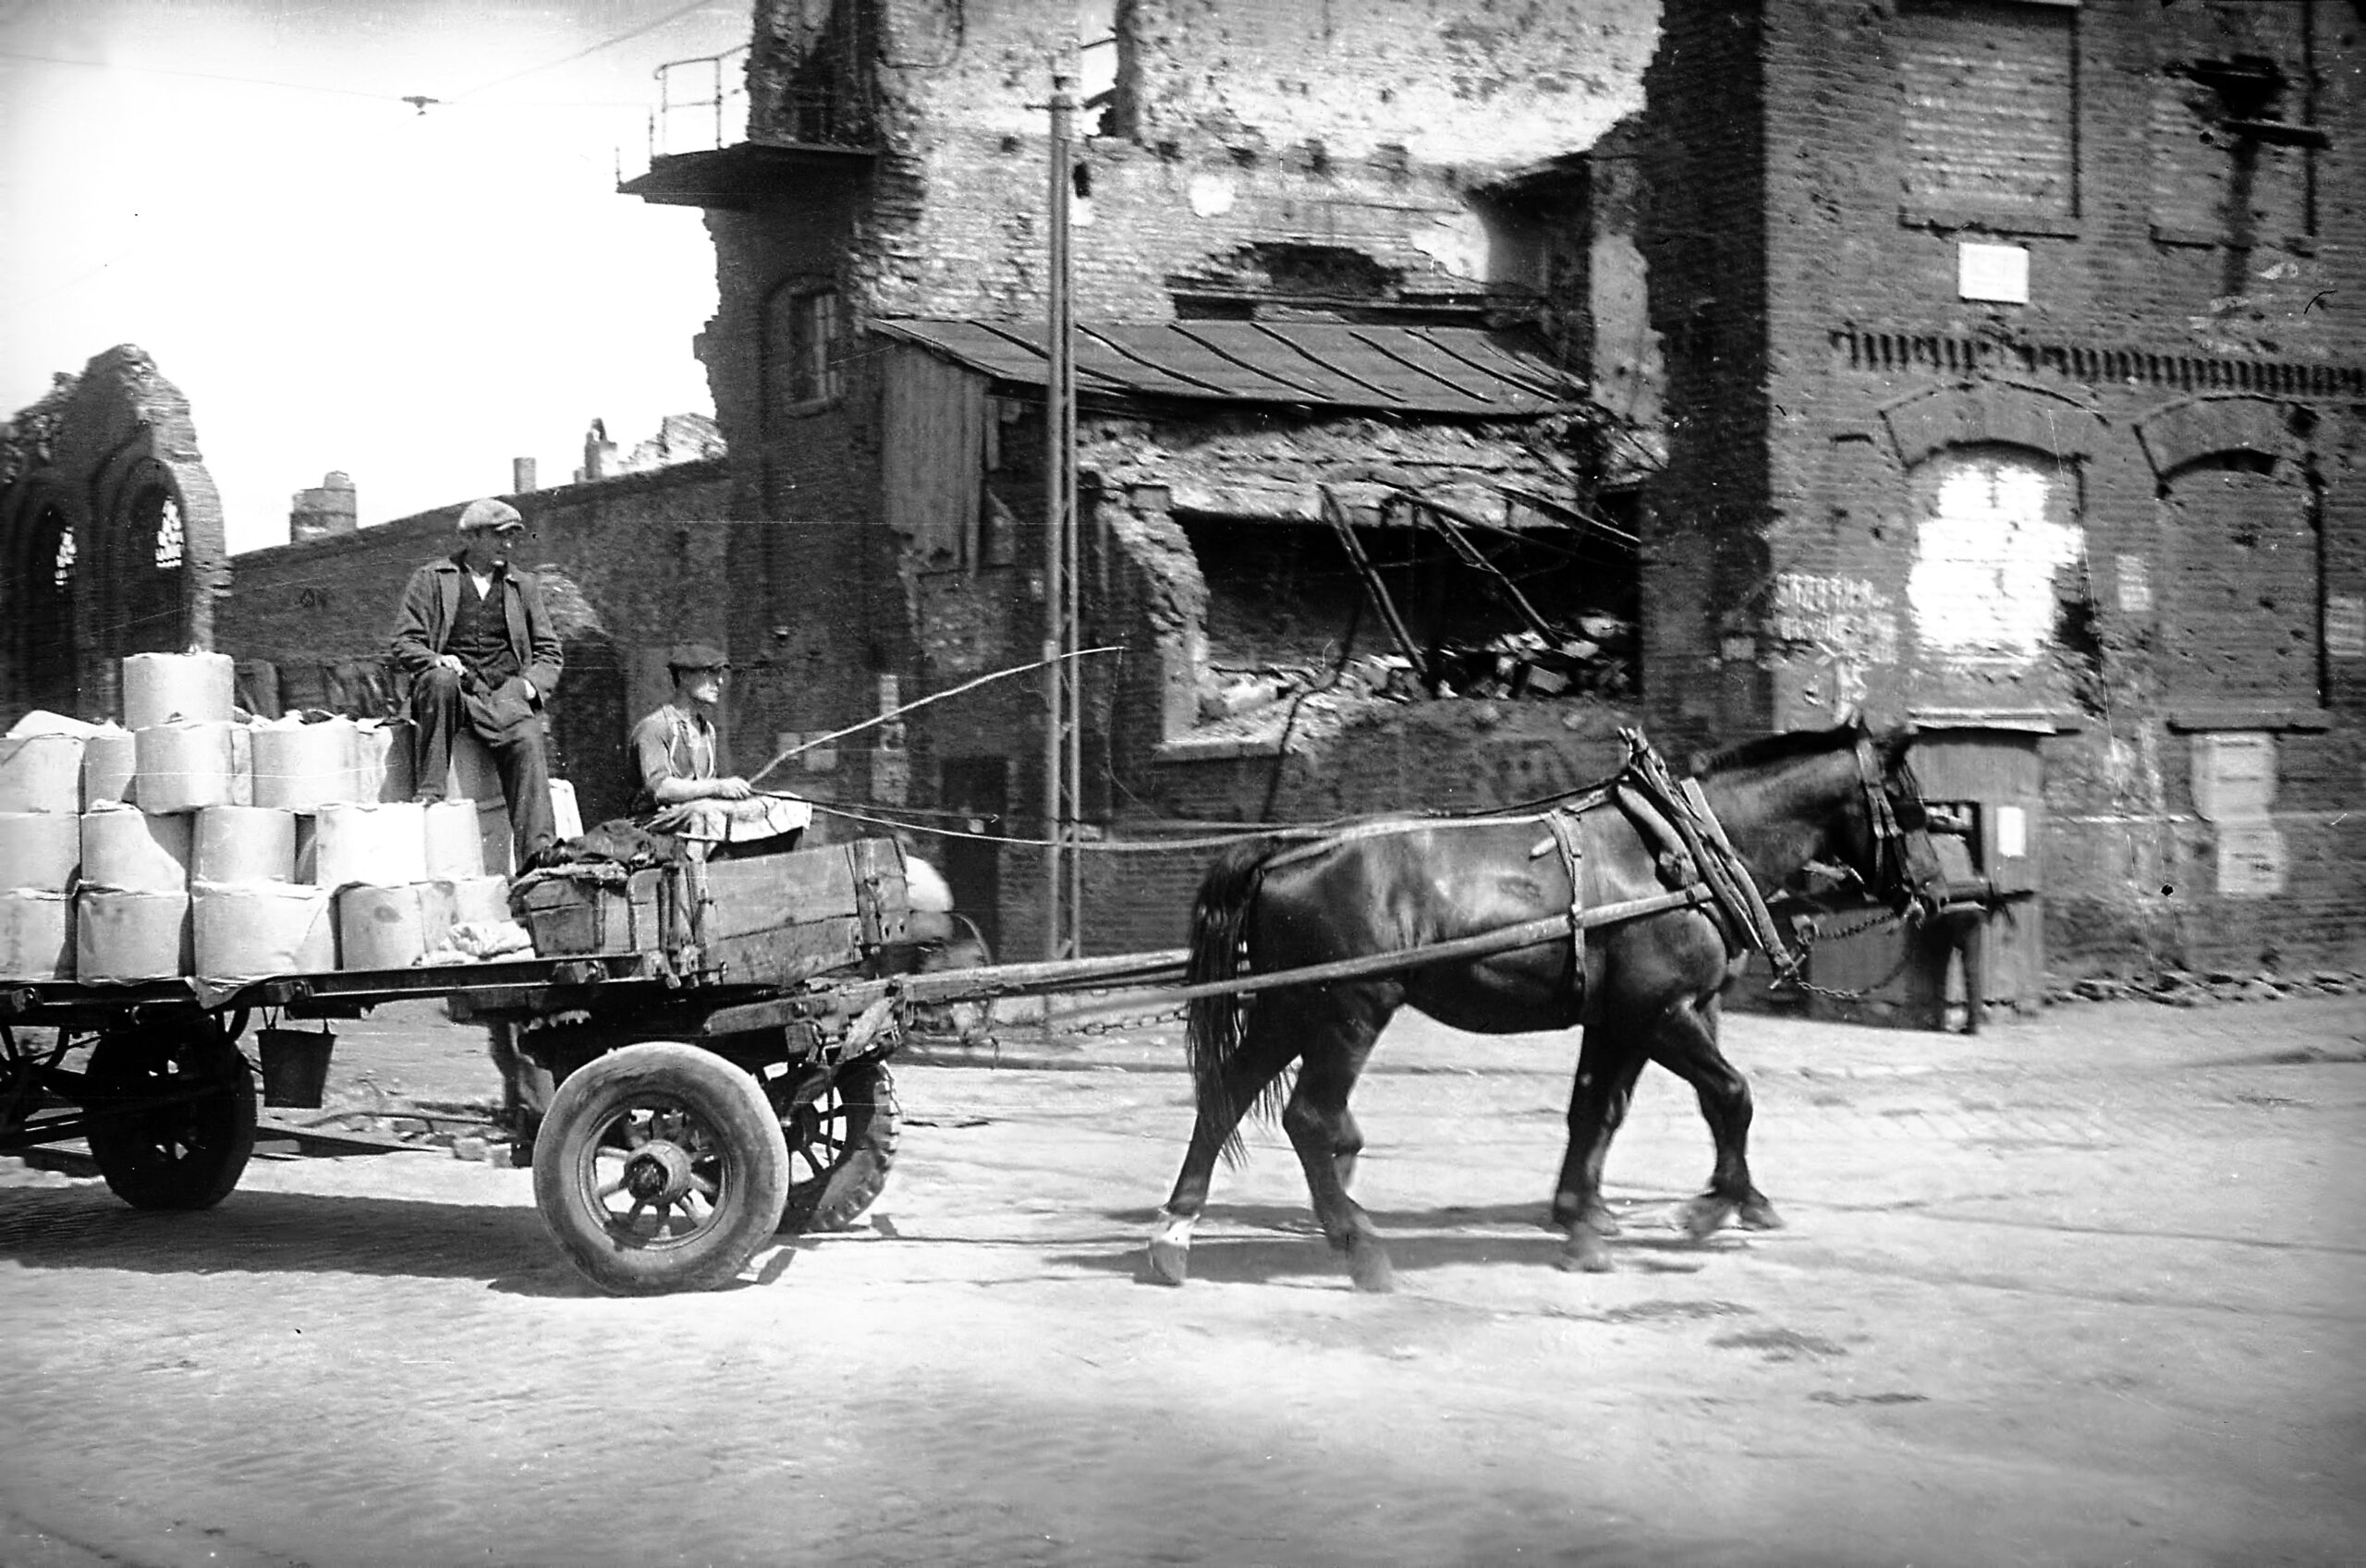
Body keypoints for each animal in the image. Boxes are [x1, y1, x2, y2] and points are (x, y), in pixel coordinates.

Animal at [1145, 728, 1940, 1295]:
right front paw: (1711, 1204)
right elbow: (1731, 1094)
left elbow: (1599, 1111)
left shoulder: (1622, 1019)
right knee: (1309, 1118)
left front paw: (1585, 1217)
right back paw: (1361, 1246)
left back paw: (1174, 1234)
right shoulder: (1662, 1012)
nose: (1932, 889)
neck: (1682, 854)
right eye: (1909, 808)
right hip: (1348, 1010)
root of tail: (1286, 849)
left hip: (1289, 1007)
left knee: (1225, 1096)